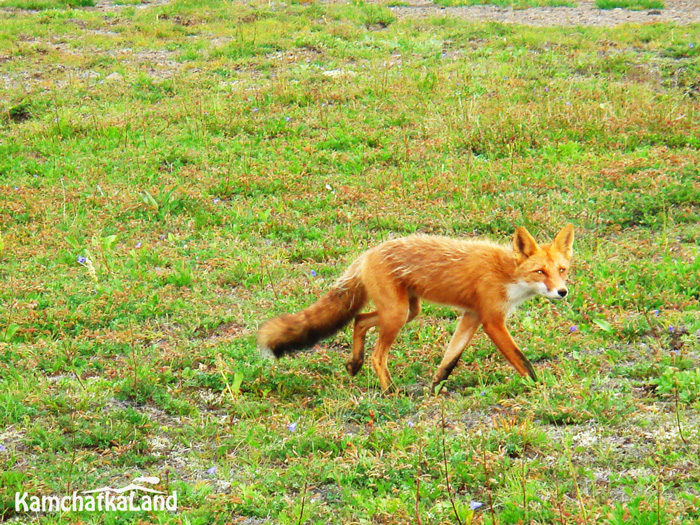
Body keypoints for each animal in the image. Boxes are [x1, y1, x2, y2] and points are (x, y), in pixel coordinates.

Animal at [258, 223, 576, 390]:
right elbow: (523, 362)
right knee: (377, 356)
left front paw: (434, 389)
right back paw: (390, 392)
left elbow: (449, 361)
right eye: (540, 272)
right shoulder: (491, 320)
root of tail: (366, 254)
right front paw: (540, 389)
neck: (506, 274)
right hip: (398, 315)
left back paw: (354, 363)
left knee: (359, 320)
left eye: (561, 270)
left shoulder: (471, 316)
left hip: (407, 311)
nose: (562, 292)